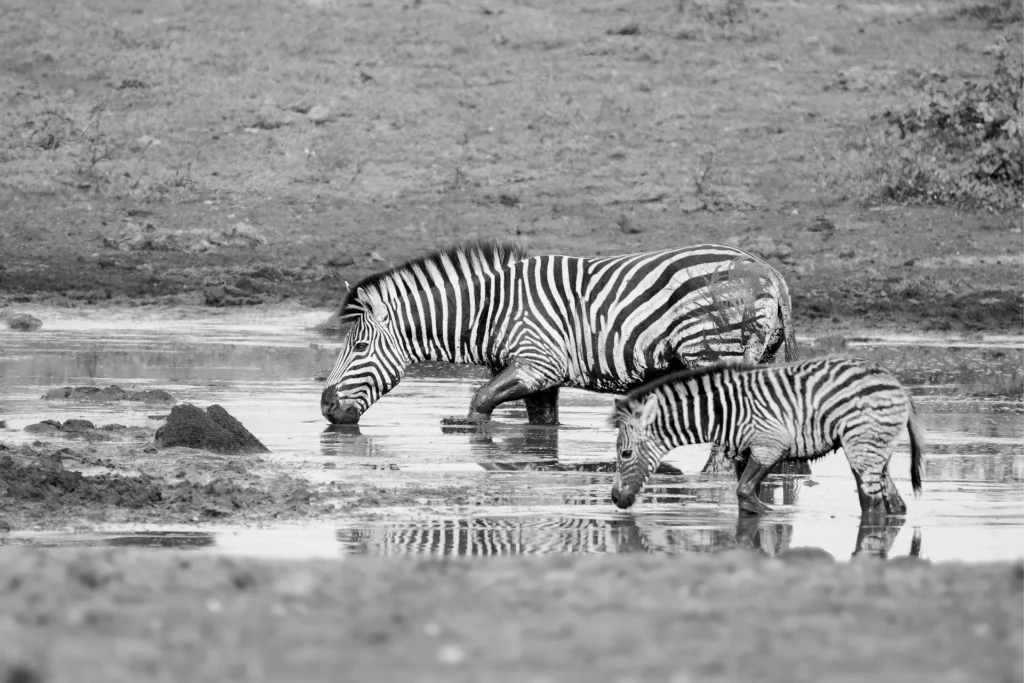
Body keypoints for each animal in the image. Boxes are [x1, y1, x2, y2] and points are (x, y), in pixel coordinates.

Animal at [320, 240, 797, 431]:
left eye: (358, 347)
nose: (325, 407)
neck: (491, 308)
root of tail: (768, 269)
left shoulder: (538, 362)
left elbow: (479, 398)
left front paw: (470, 427)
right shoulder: (538, 378)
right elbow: (543, 427)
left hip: (711, 349)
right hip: (760, 355)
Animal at [608, 356, 925, 521]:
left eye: (625, 454)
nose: (614, 499)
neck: (723, 411)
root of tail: (897, 384)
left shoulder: (769, 446)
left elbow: (745, 493)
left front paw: (775, 516)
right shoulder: (742, 454)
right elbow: (745, 500)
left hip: (861, 448)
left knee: (872, 505)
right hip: (876, 452)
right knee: (895, 504)